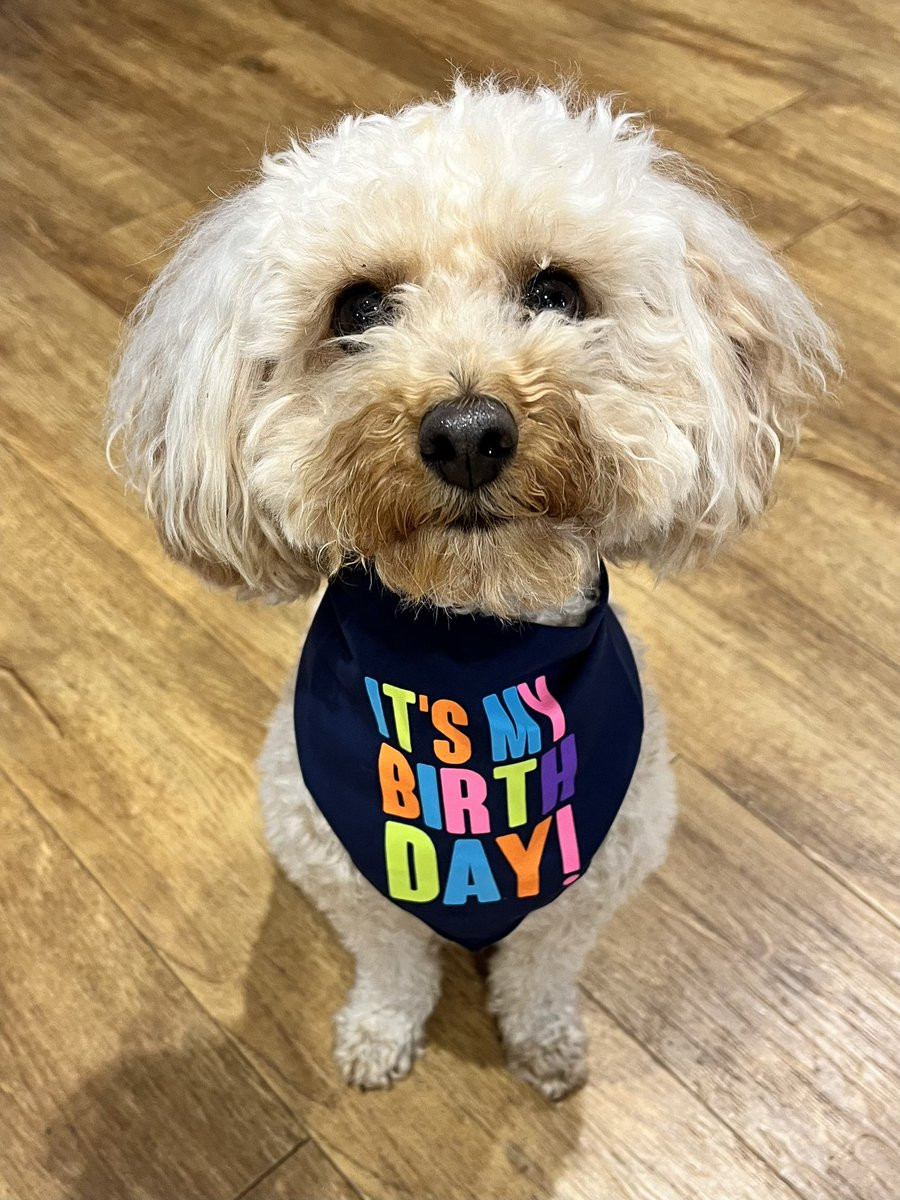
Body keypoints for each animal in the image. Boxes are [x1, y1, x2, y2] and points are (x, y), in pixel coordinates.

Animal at [108, 81, 835, 1100]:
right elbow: (391, 963)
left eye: (555, 292)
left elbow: (540, 969)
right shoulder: (343, 872)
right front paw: (380, 1033)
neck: (472, 650)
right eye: (357, 307)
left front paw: (543, 1040)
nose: (466, 434)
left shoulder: (592, 884)